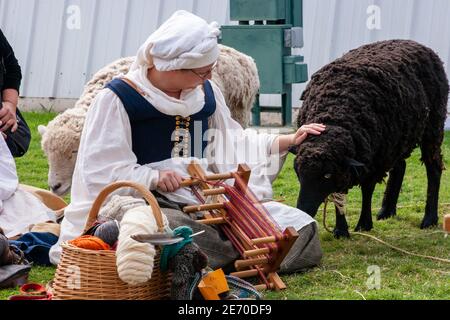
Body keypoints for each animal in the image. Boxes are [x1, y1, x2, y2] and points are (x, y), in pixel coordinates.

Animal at [294, 39, 448, 238]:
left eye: (326, 175)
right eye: (298, 172)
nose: (303, 211)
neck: (335, 115)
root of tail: (417, 44)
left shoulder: (372, 161)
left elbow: (367, 190)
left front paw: (364, 224)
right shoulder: (355, 160)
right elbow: (339, 194)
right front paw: (341, 229)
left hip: (432, 125)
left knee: (433, 168)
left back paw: (429, 219)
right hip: (396, 138)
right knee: (400, 167)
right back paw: (386, 211)